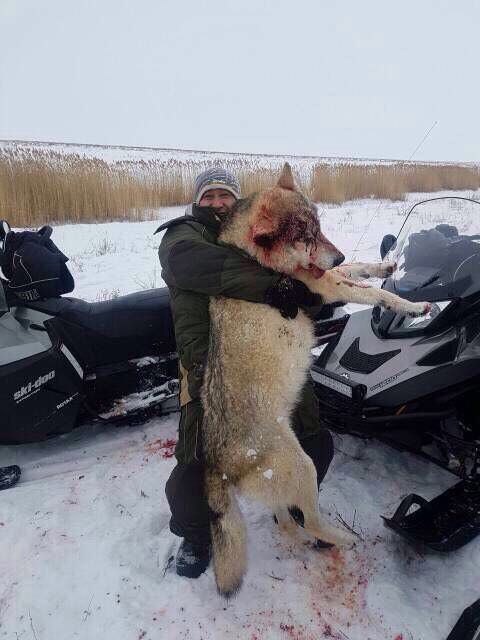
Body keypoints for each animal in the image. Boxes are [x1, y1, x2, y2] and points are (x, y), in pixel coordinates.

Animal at [201, 163, 429, 597]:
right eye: (304, 236)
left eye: (319, 228)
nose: (336, 251)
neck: (253, 258)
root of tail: (218, 465)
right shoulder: (322, 284)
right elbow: (376, 294)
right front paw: (415, 305)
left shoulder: (326, 274)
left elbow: (360, 270)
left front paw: (385, 267)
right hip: (304, 468)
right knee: (310, 518)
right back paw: (346, 539)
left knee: (288, 523)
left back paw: (309, 544)